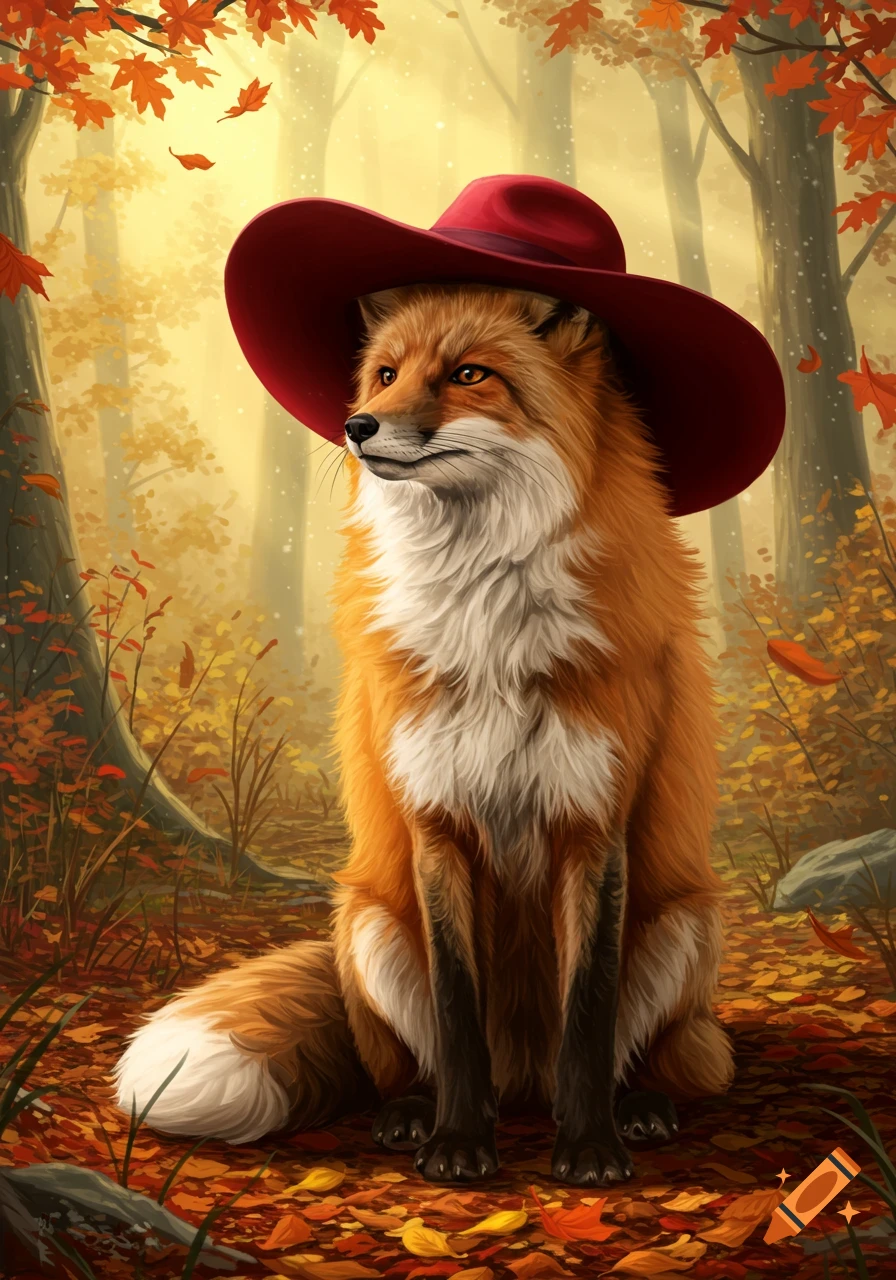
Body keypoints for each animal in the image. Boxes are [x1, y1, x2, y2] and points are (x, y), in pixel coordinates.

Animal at [114, 281, 734, 1186]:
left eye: (469, 373)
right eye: (384, 374)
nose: (357, 425)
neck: (487, 613)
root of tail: (525, 1082)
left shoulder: (593, 824)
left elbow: (588, 1015)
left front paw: (589, 1147)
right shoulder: (435, 824)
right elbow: (455, 1010)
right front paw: (457, 1143)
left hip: (682, 924)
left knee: (651, 1055)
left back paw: (638, 1109)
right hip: (370, 922)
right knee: (409, 1062)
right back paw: (412, 1112)